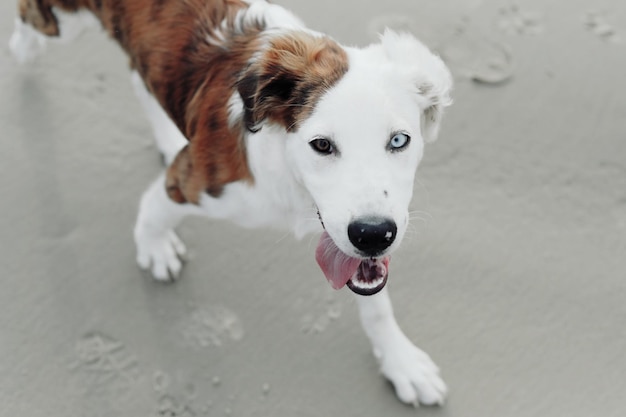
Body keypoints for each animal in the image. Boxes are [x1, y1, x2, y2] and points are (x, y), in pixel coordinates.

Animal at [8, 0, 448, 406]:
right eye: (321, 145)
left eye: (399, 140)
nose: (373, 234)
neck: (290, 174)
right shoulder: (192, 182)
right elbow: (153, 208)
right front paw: (155, 249)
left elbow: (376, 304)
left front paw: (401, 362)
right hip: (59, 24)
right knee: (29, 20)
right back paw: (20, 47)